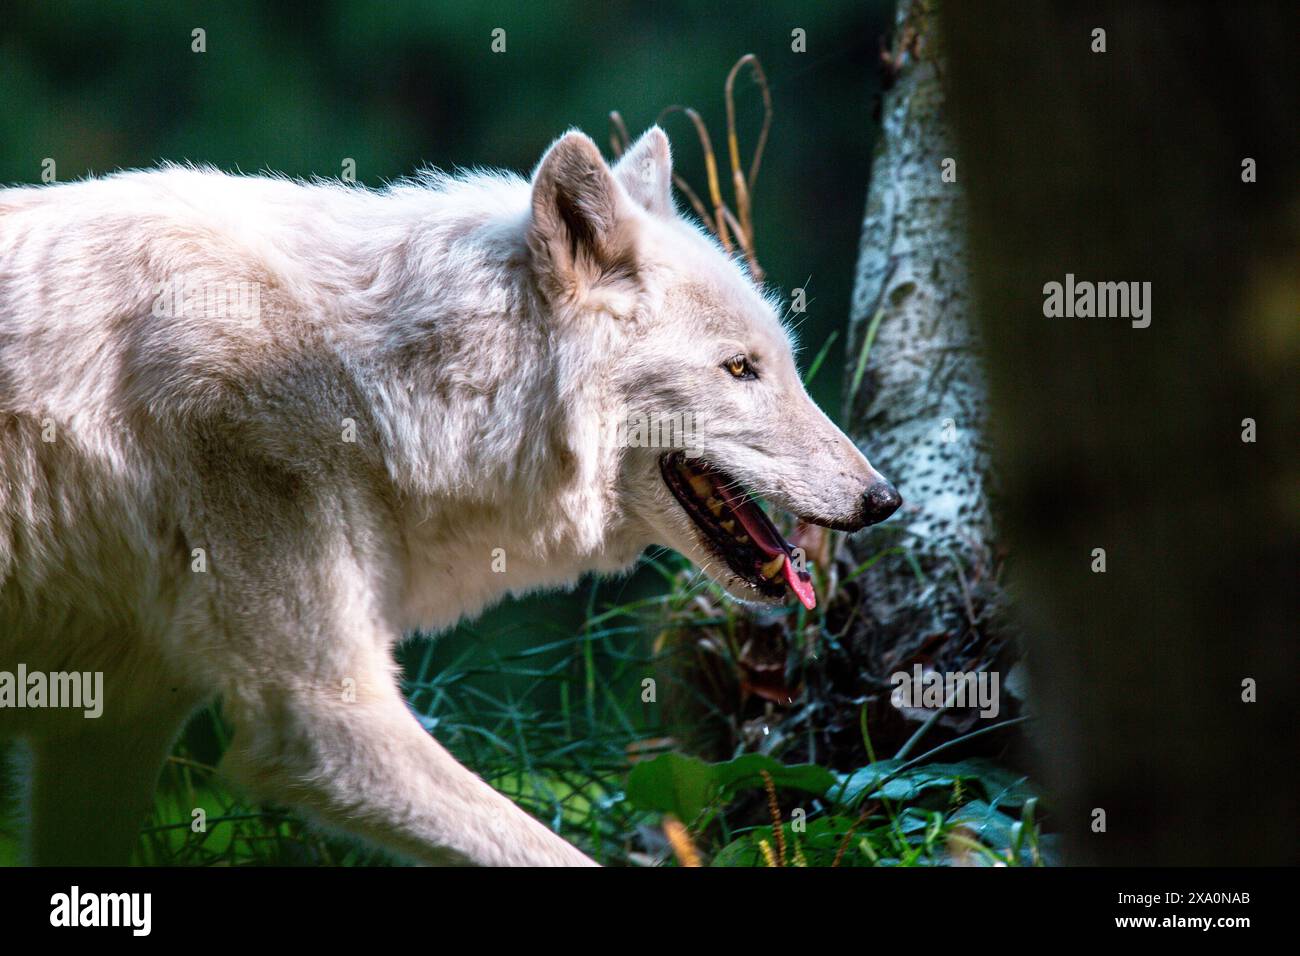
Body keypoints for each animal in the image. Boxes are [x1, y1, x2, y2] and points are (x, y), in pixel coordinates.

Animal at [0, 127, 900, 866]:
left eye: (780, 362)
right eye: (740, 368)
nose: (884, 499)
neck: (375, 388)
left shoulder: (108, 731)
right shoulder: (324, 719)